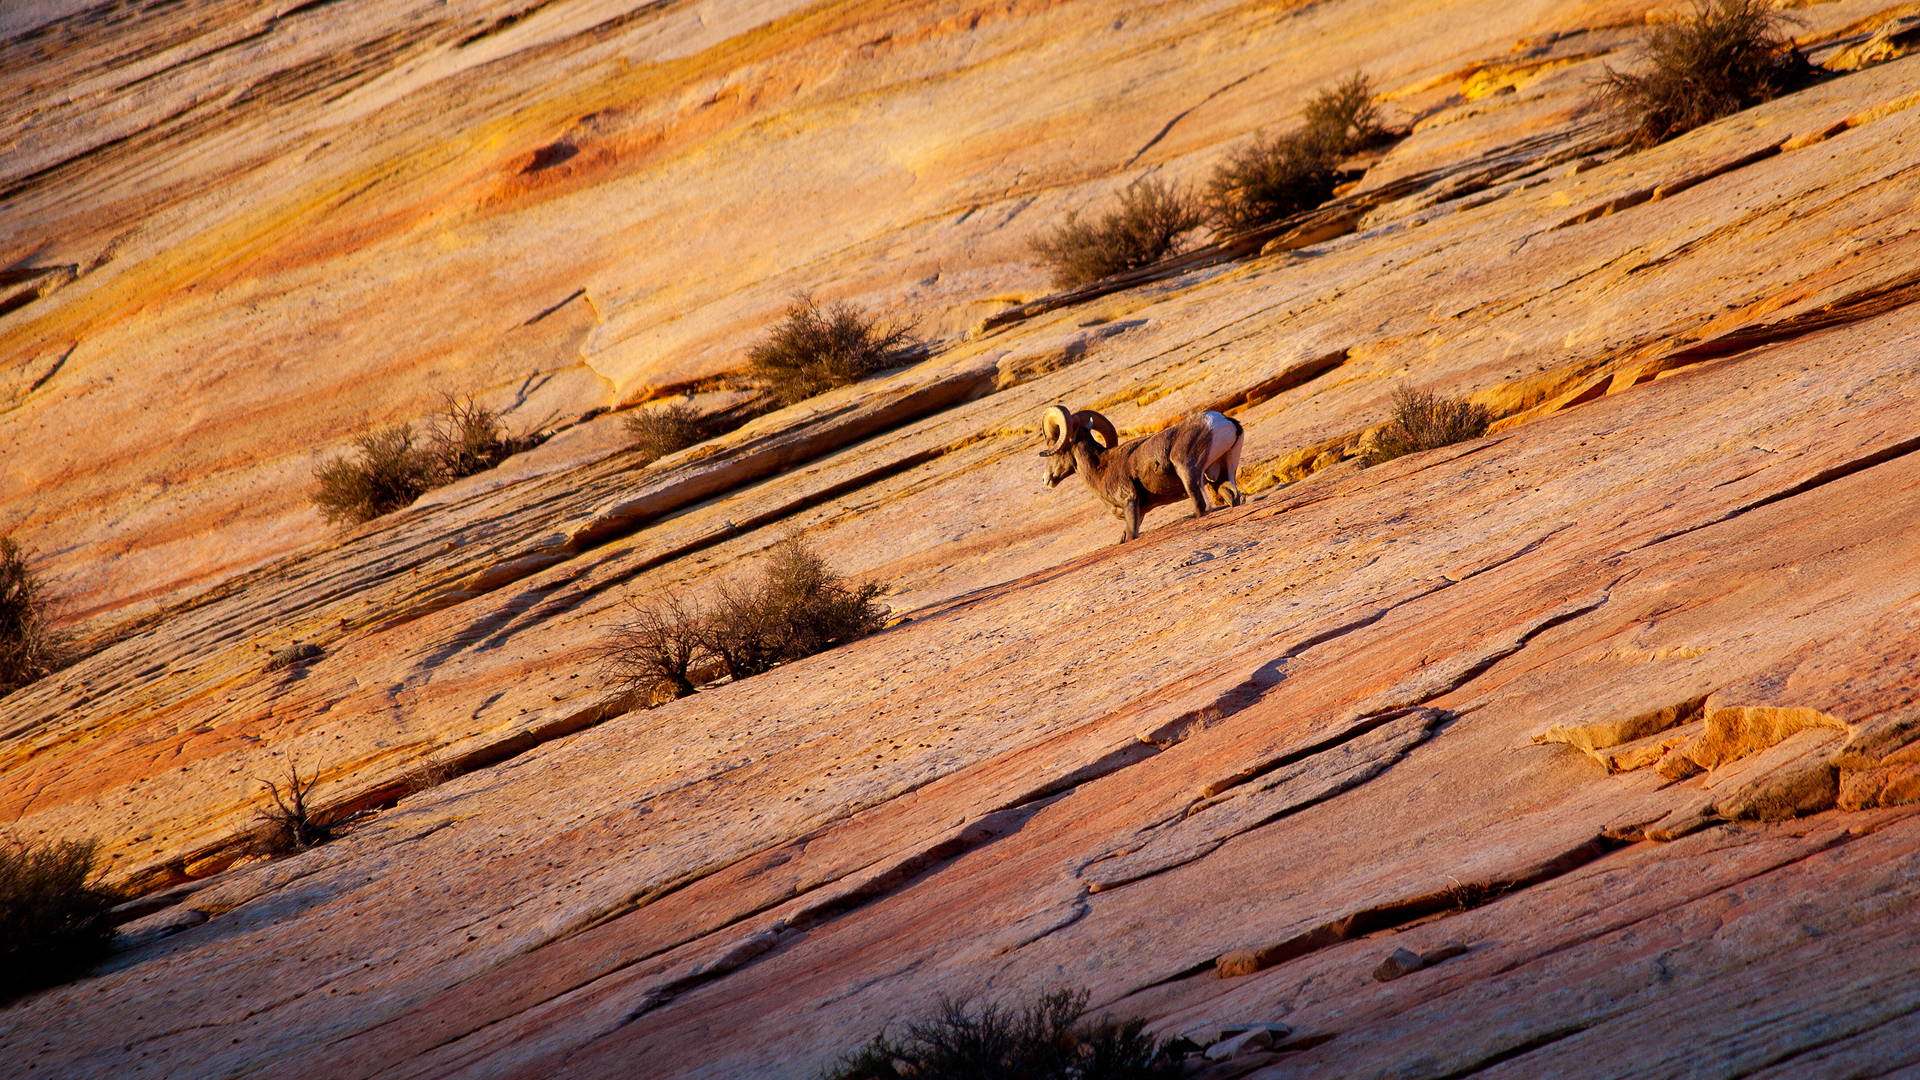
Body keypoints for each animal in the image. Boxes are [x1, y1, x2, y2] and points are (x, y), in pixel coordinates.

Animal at [1036, 401, 1244, 538]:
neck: (1100, 468)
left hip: (1187, 471)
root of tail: (1225, 421)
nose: (1046, 479)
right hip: (1221, 477)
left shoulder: (1129, 503)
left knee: (1202, 506)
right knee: (1235, 497)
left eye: (1054, 446)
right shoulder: (1140, 513)